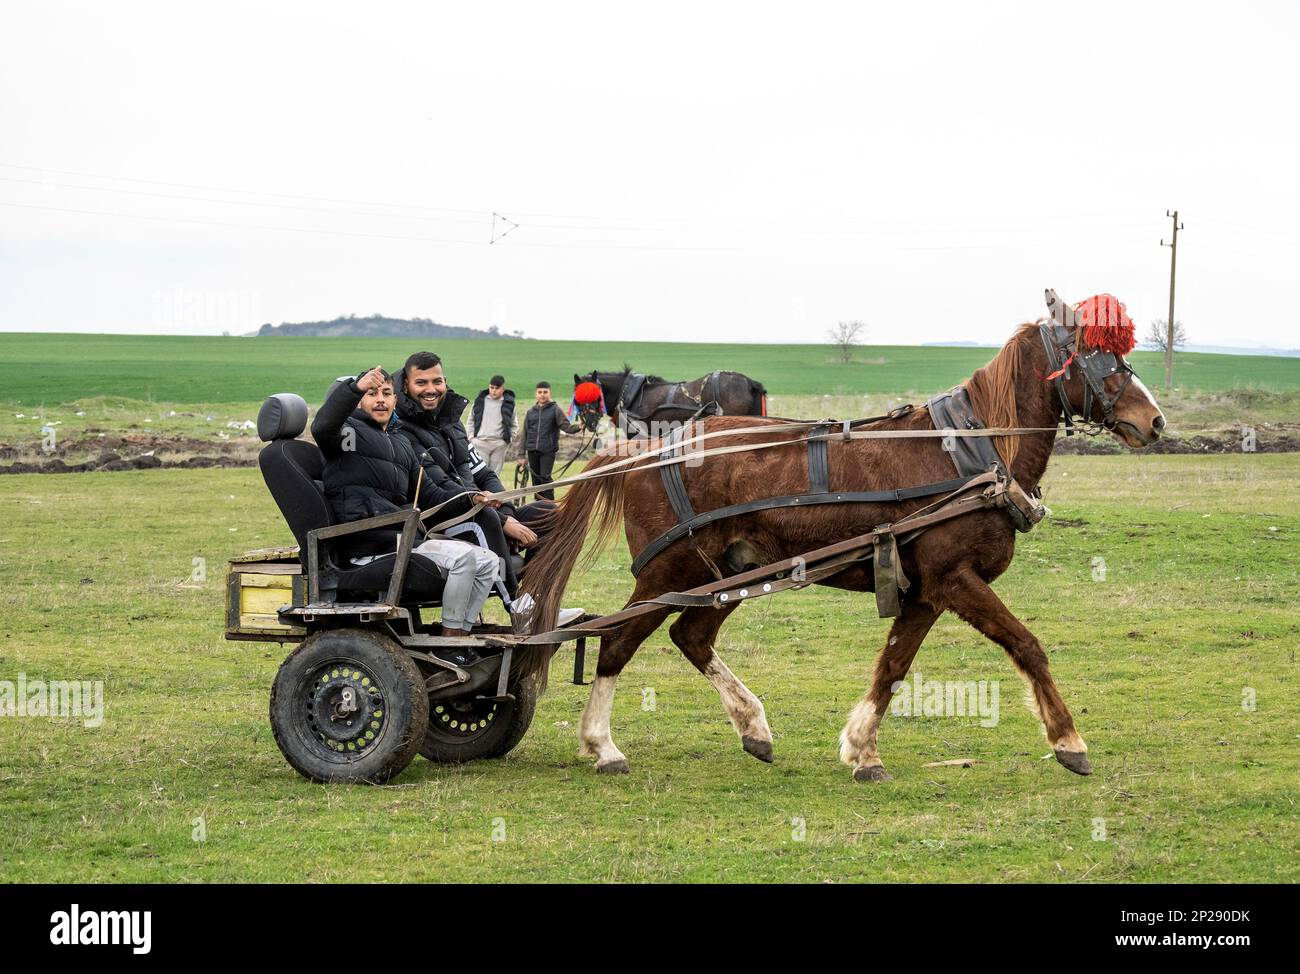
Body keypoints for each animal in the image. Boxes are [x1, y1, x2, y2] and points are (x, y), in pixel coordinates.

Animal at [522, 321, 1164, 780]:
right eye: (1105, 360)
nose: (1154, 421)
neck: (971, 452)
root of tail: (646, 450)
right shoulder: (955, 578)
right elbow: (1027, 646)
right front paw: (1069, 741)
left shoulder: (925, 590)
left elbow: (893, 667)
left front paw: (862, 751)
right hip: (665, 574)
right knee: (616, 643)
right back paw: (603, 746)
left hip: (727, 572)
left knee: (690, 637)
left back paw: (752, 728)